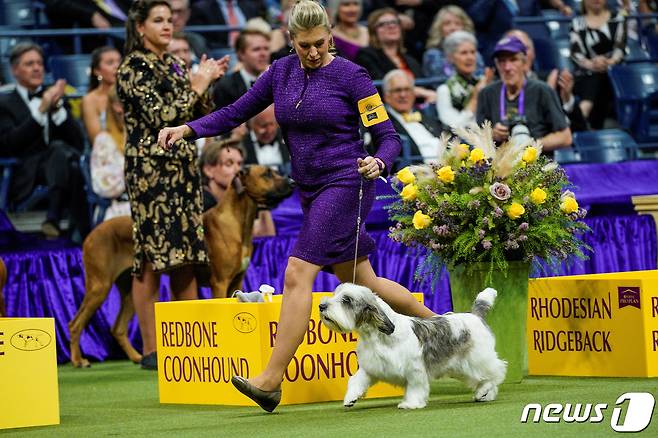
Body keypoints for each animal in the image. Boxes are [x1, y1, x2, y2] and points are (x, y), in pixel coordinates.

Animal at [68, 166, 290, 368]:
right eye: (267, 173)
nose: (292, 181)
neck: (239, 222)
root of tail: (90, 235)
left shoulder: (237, 280)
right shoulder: (220, 282)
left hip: (128, 290)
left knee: (118, 328)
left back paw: (137, 357)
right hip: (99, 286)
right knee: (75, 324)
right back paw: (79, 361)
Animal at [318, 282, 508, 408]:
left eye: (346, 300)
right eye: (336, 294)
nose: (321, 306)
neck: (377, 336)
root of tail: (475, 315)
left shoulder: (414, 370)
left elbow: (416, 387)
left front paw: (411, 403)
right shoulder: (371, 368)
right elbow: (356, 380)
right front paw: (350, 398)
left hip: (477, 358)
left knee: (496, 371)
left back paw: (484, 391)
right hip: (461, 367)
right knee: (484, 378)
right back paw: (485, 395)